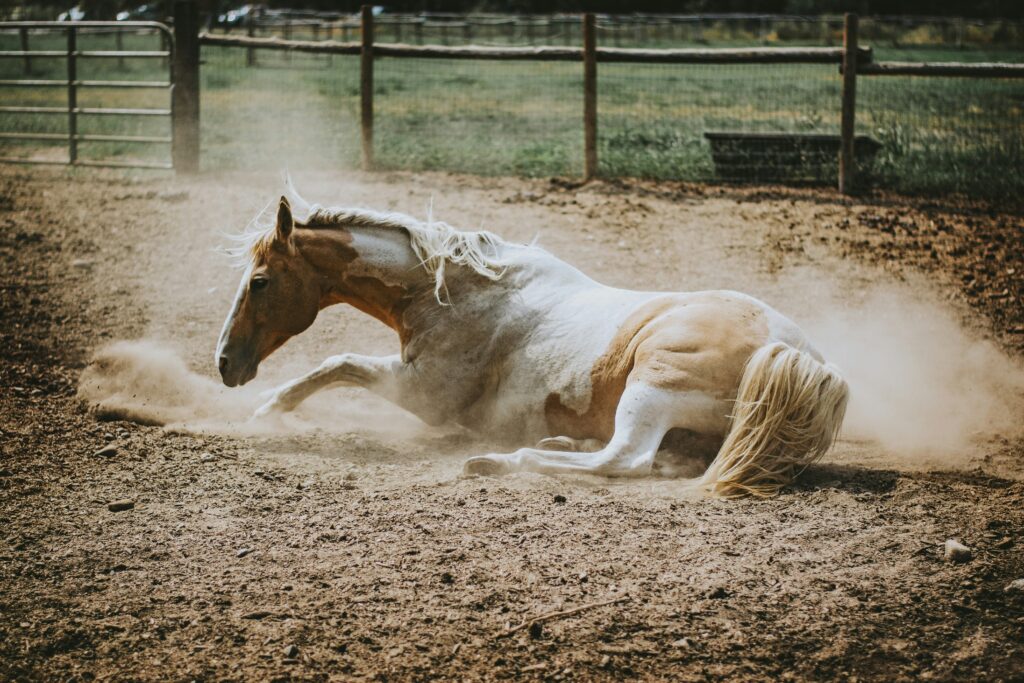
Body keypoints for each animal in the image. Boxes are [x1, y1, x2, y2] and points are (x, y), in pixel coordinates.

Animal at [216, 185, 849, 497]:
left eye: (259, 281)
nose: (224, 364)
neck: (453, 291)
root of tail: (795, 354)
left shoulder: (422, 396)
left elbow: (336, 361)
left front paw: (267, 412)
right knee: (658, 457)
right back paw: (558, 442)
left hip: (651, 387)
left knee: (627, 458)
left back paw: (499, 461)